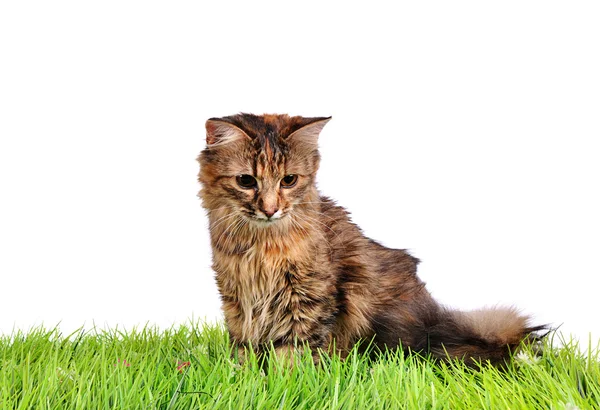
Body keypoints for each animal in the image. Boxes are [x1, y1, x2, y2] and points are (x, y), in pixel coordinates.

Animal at [197, 113, 544, 366]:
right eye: (246, 181)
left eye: (289, 180)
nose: (270, 209)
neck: (258, 246)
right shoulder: (236, 300)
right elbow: (244, 349)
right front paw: (246, 378)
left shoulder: (308, 297)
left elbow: (293, 351)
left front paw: (285, 383)